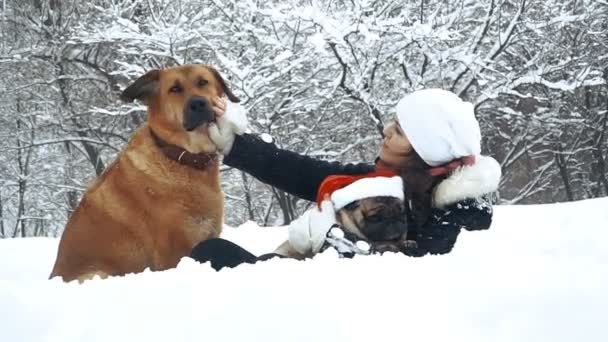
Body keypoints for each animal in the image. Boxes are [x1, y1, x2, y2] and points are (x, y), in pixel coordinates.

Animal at [50, 65, 240, 284]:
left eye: (203, 82)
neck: (180, 159)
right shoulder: (172, 252)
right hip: (97, 274)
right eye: (174, 89)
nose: (198, 104)